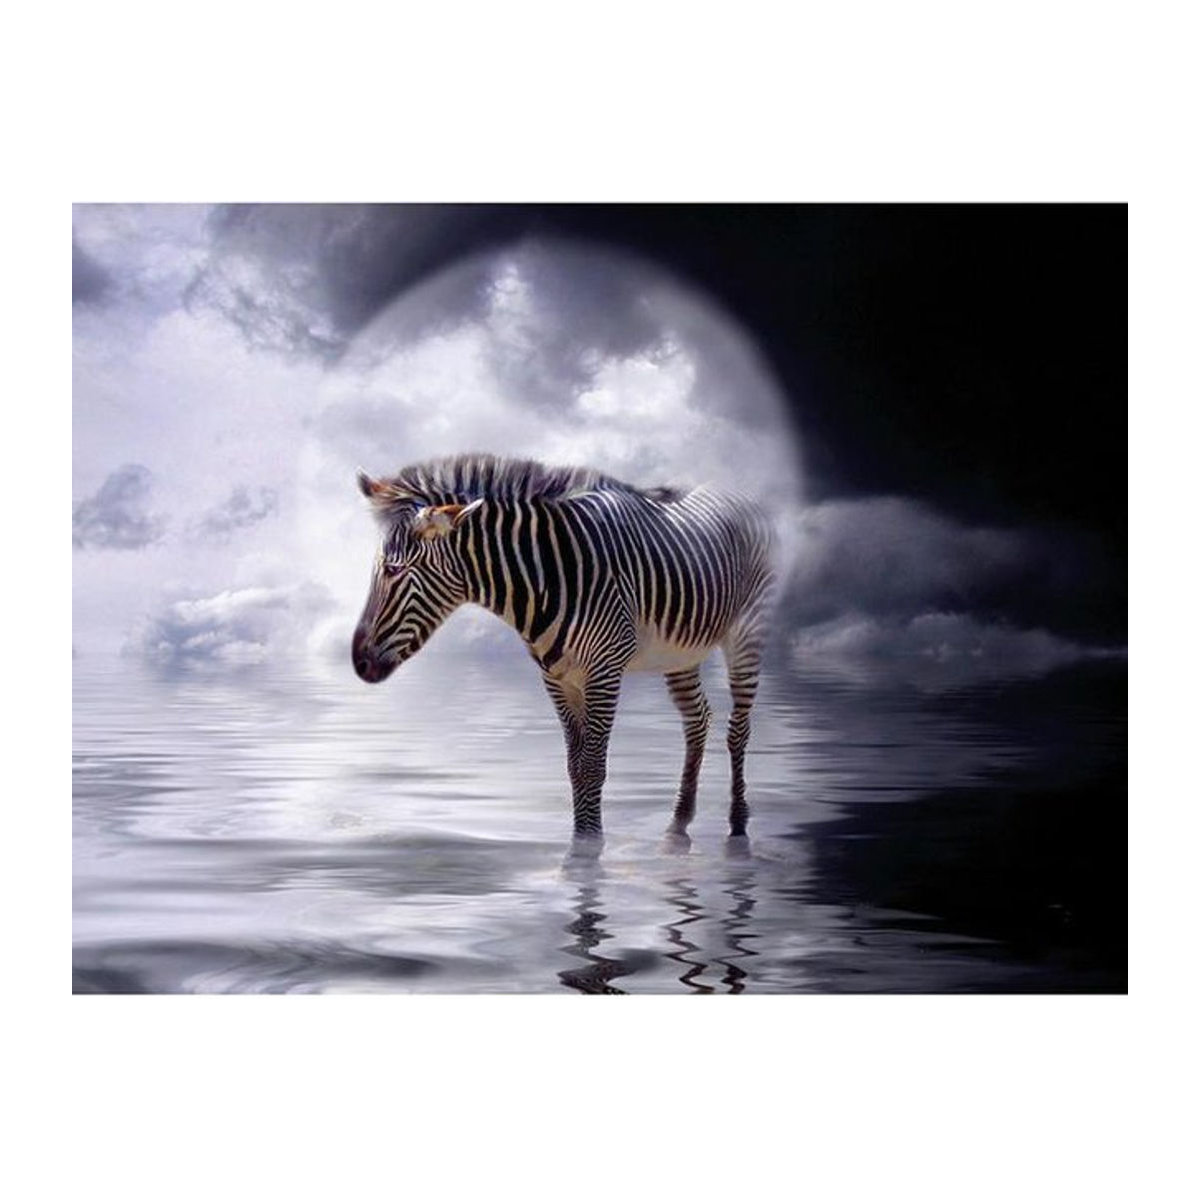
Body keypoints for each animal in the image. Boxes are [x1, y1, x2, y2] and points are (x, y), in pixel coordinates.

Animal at [352, 453, 776, 850]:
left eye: (393, 570)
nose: (359, 663)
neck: (547, 578)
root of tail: (736, 490)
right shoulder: (556, 678)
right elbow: (575, 766)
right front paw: (581, 843)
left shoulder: (605, 672)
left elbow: (592, 766)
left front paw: (589, 851)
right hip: (680, 652)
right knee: (698, 718)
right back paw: (679, 822)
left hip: (747, 629)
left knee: (738, 727)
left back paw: (738, 824)